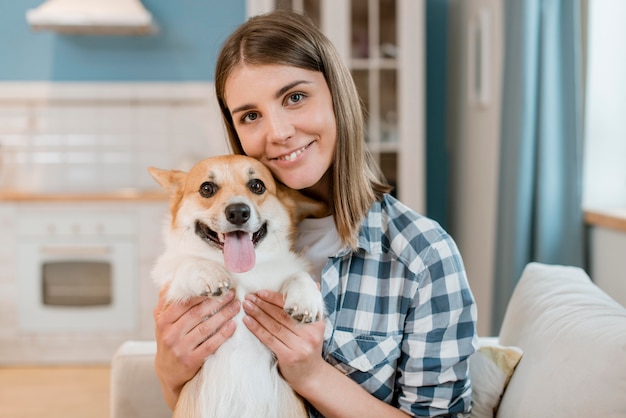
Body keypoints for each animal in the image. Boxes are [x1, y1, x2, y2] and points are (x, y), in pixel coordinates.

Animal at [148, 155, 324, 418]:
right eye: (207, 188)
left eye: (257, 185)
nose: (238, 212)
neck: (239, 273)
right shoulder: (172, 282)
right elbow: (188, 263)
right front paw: (210, 273)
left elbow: (298, 274)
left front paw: (305, 300)